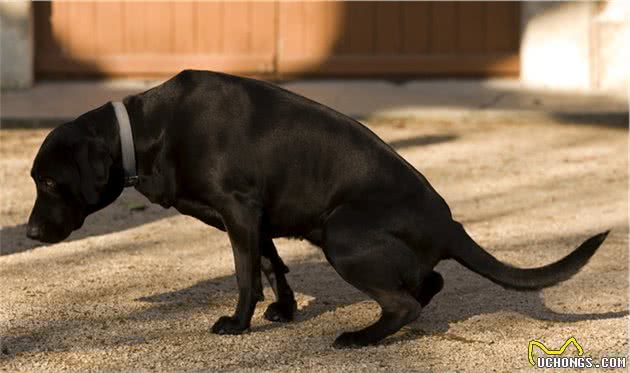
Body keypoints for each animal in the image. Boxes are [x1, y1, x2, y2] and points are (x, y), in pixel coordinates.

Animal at [27, 70, 608, 346]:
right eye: (36, 181)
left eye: (51, 182)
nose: (29, 234)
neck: (148, 130)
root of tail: (451, 226)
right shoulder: (254, 216)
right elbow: (271, 264)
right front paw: (284, 311)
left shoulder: (238, 210)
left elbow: (245, 274)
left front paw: (238, 324)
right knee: (428, 284)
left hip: (342, 234)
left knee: (407, 303)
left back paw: (360, 338)